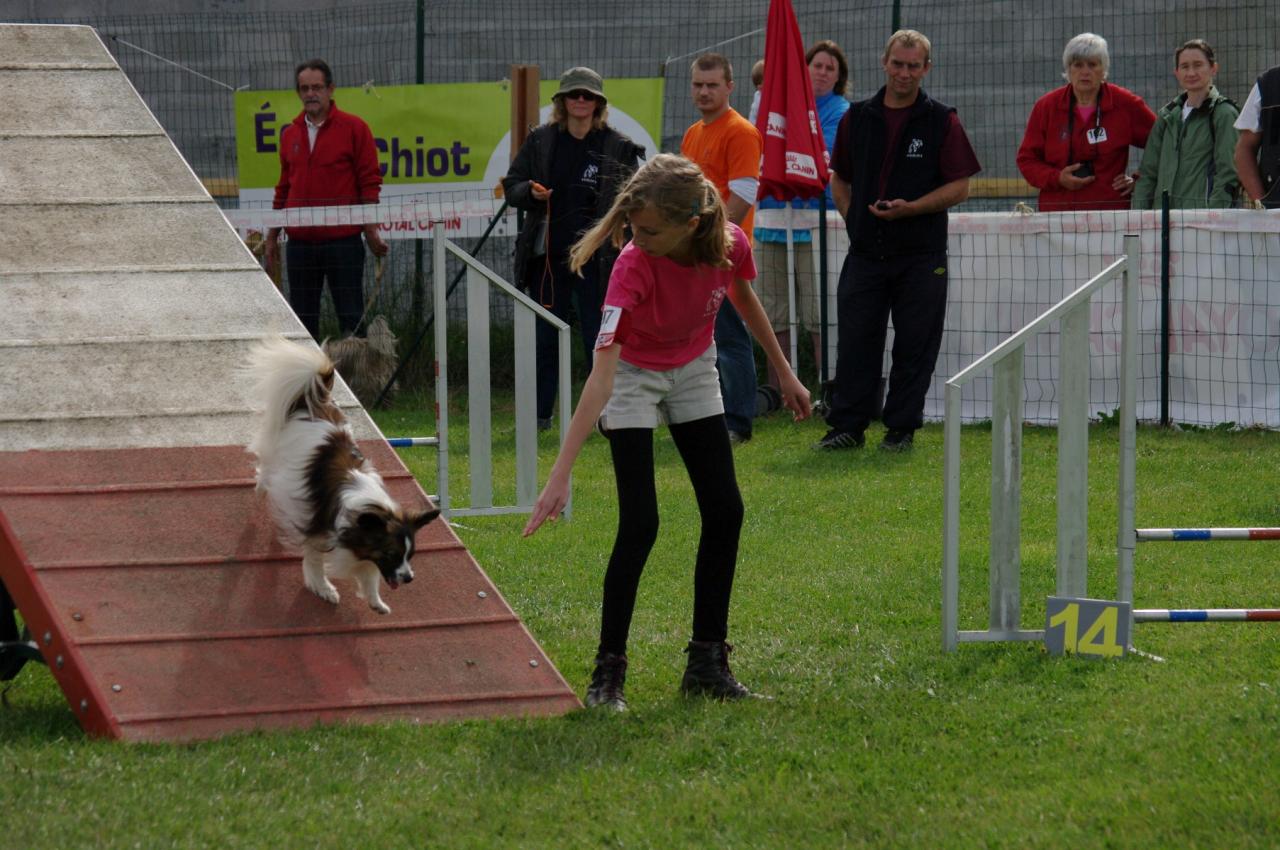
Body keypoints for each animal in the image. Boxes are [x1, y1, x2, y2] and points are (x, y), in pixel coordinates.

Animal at [244, 335, 440, 614]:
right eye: (391, 554)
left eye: (409, 555)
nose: (409, 578)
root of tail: (315, 401)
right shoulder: (316, 531)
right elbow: (314, 562)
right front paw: (323, 589)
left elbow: (369, 576)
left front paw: (376, 602)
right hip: (277, 456)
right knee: (265, 470)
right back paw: (262, 489)